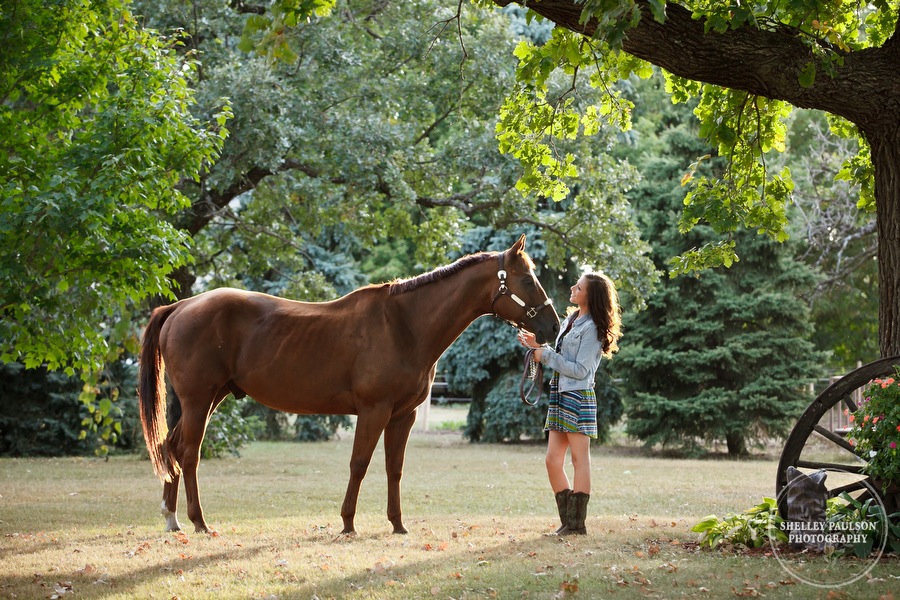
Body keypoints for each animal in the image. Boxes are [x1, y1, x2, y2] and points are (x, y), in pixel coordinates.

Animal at [137, 234, 560, 536]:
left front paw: (397, 524)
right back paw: (198, 521)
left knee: (171, 446)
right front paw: (347, 523)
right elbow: (359, 463)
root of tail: (180, 306)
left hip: (211, 398)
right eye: (527, 278)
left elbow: (394, 468)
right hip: (198, 400)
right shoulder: (374, 411)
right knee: (188, 452)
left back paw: (172, 518)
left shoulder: (402, 416)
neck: (405, 325)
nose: (552, 326)